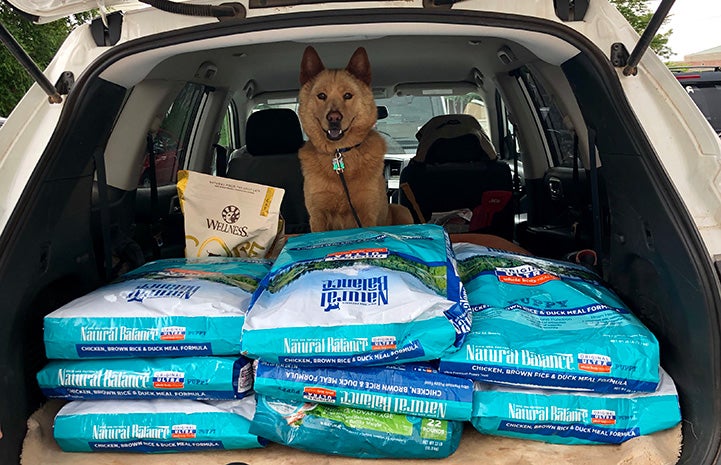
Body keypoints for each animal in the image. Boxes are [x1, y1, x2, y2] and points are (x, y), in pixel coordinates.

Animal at [296, 46, 410, 231]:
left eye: (348, 95)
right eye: (321, 96)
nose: (334, 118)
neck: (339, 153)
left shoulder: (367, 213)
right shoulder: (317, 216)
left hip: (402, 210)